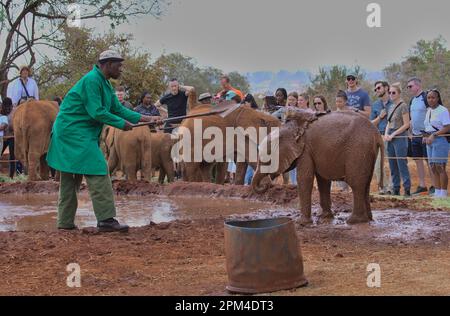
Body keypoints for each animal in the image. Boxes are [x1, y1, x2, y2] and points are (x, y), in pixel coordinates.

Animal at [253, 108, 384, 225]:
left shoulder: (305, 151)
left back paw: (354, 221)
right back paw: (367, 219)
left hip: (358, 150)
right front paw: (324, 217)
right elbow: (323, 181)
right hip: (367, 152)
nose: (266, 184)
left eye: (267, 159)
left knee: (356, 183)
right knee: (365, 184)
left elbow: (304, 179)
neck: (288, 128)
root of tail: (377, 133)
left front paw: (301, 223)